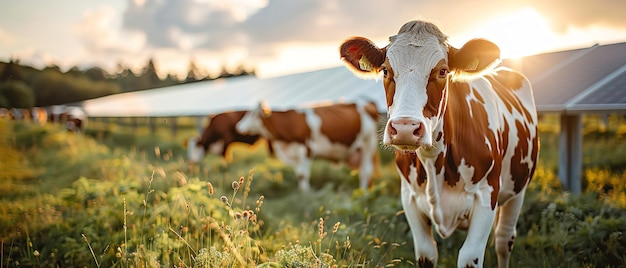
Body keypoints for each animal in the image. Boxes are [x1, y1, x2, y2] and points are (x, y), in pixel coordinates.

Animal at [235, 100, 378, 191]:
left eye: (252, 114)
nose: (238, 127)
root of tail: (367, 104)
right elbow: (299, 175)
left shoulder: (306, 149)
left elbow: (302, 175)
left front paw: (306, 194)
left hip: (368, 144)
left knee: (366, 171)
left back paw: (363, 192)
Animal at [338, 19, 540, 266]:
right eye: (386, 70)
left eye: (443, 71)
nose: (405, 129)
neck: (434, 160)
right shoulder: (410, 199)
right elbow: (427, 252)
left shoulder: (486, 197)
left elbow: (469, 256)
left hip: (518, 189)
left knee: (504, 240)